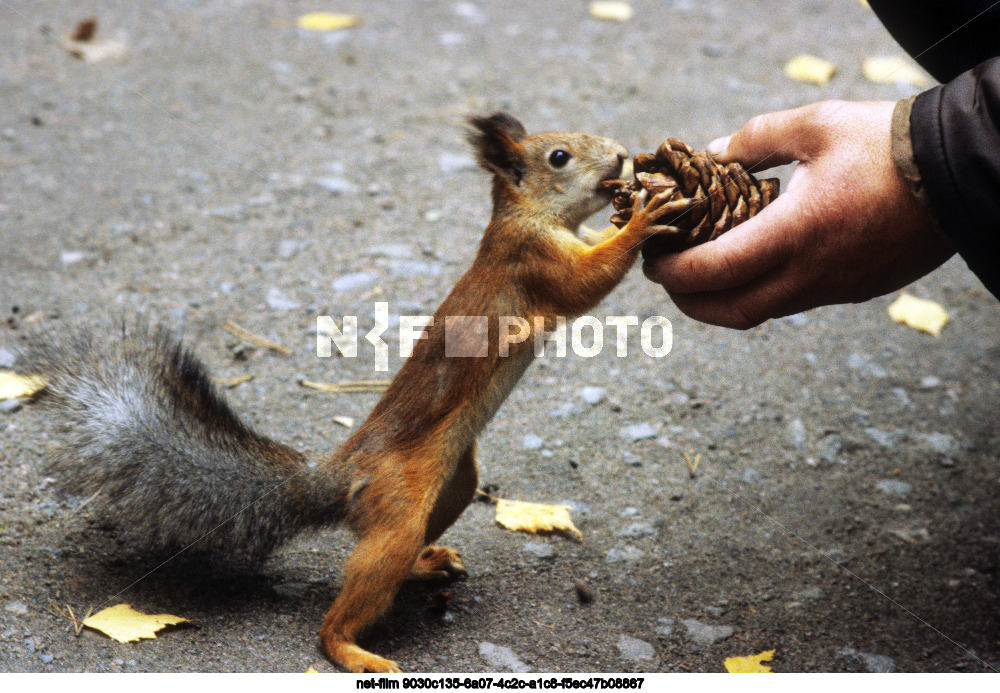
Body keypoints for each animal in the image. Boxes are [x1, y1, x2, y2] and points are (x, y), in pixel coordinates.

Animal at [17, 112, 688, 672]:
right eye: (559, 157)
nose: (623, 155)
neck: (535, 217)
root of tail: (340, 479)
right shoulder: (533, 260)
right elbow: (586, 282)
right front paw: (643, 218)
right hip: (398, 508)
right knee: (349, 599)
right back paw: (353, 650)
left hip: (453, 483)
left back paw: (427, 565)